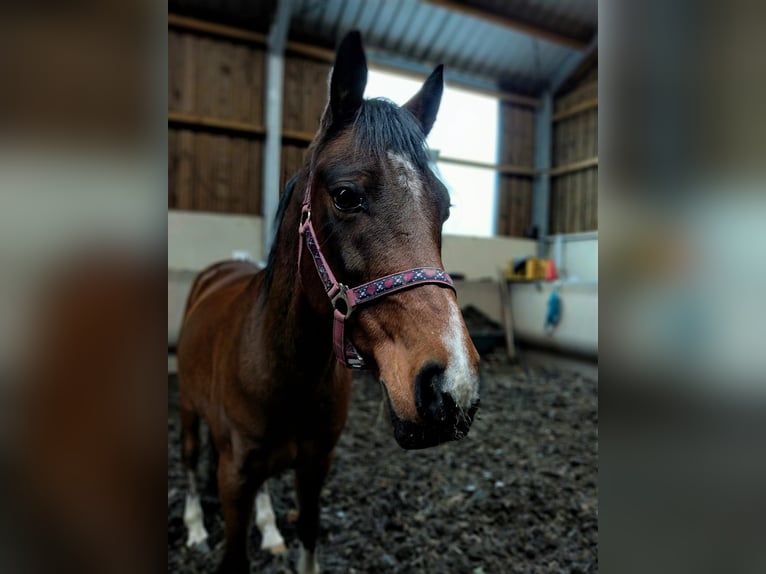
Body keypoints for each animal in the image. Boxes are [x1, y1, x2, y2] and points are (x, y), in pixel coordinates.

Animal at [178, 31, 484, 574]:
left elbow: (308, 533)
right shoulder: (233, 474)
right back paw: (193, 525)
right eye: (345, 195)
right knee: (190, 463)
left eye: (445, 207)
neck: (283, 371)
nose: (453, 386)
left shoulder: (316, 464)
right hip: (190, 414)